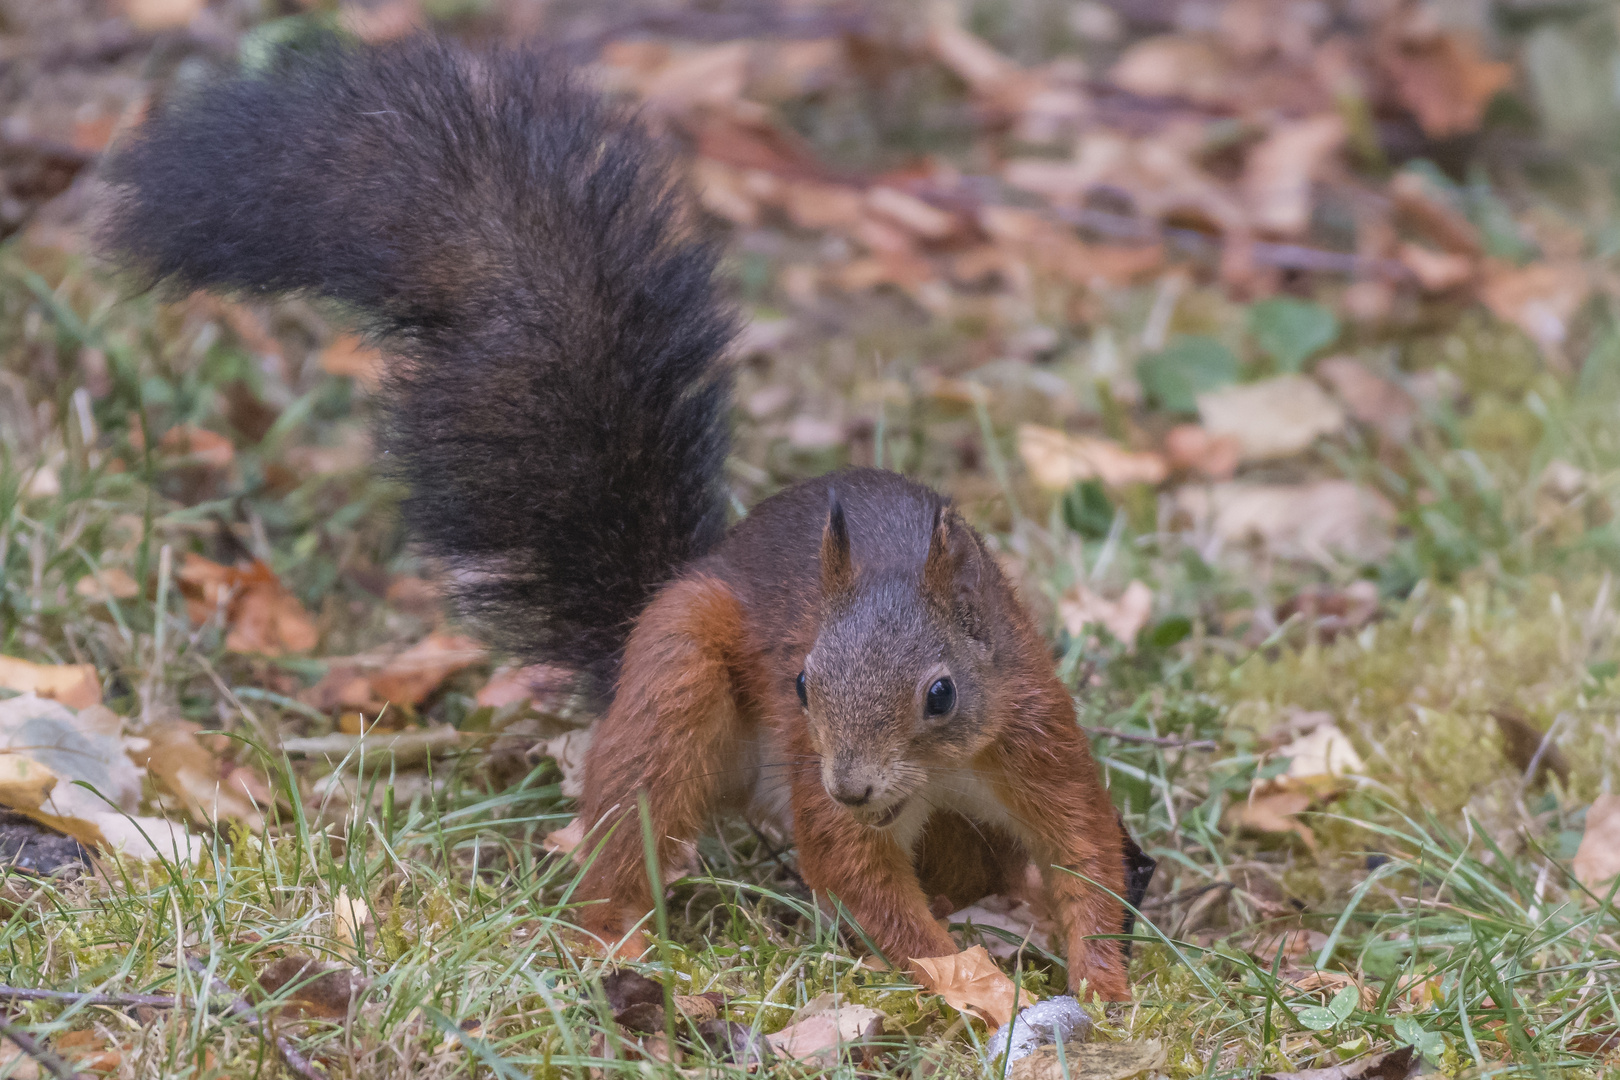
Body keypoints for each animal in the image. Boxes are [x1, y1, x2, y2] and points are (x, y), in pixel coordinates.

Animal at [98, 35, 1153, 1003]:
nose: (851, 786)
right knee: (638, 811)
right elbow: (858, 875)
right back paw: (609, 935)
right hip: (679, 674)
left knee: (969, 861)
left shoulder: (1034, 733)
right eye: (801, 683)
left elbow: (1087, 852)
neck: (932, 772)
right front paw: (975, 984)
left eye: (941, 694)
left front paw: (1098, 979)